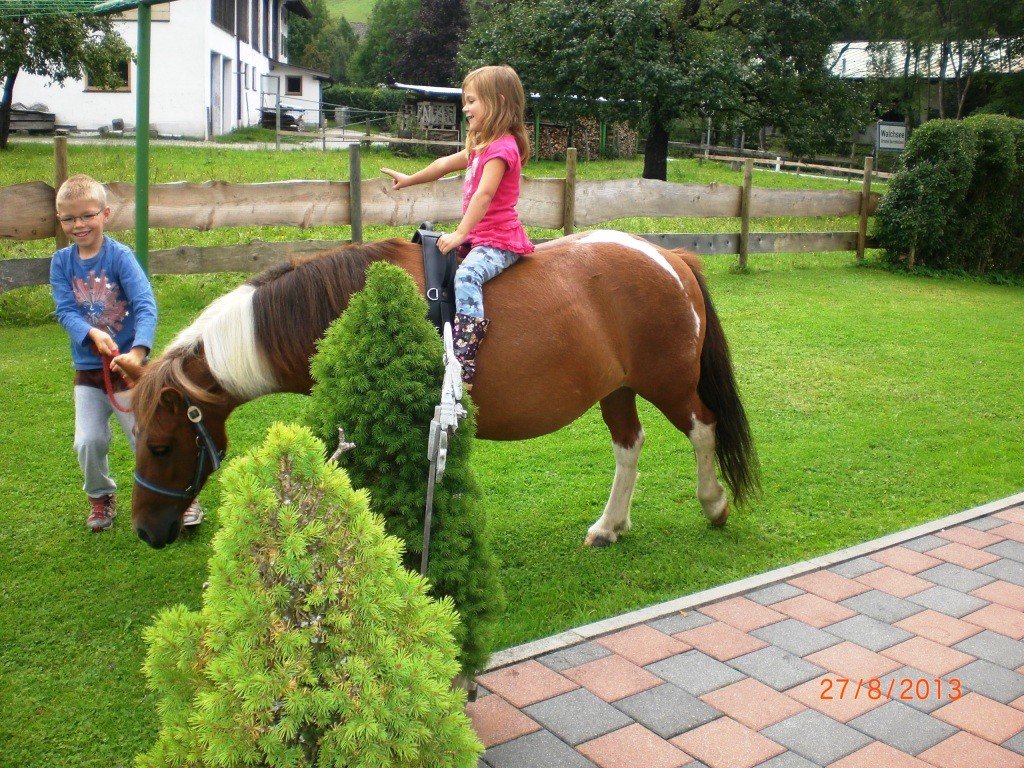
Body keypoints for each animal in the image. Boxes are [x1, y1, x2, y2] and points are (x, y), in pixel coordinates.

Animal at [128, 231, 757, 548]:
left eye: (160, 446)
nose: (146, 531)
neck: (348, 309)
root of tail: (670, 255)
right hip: (618, 389)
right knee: (629, 445)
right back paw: (610, 526)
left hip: (668, 383)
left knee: (703, 428)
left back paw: (713, 503)